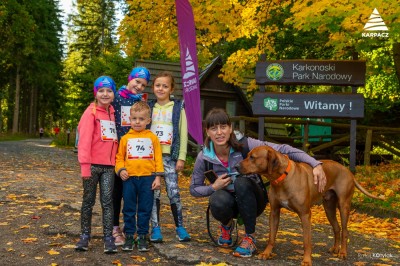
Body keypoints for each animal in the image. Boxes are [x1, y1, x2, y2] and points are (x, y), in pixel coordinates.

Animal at [236, 145, 382, 266]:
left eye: (252, 157)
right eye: (247, 155)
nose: (236, 166)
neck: (282, 178)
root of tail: (348, 171)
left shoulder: (305, 214)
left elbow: (307, 241)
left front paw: (306, 260)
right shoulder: (274, 212)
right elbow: (271, 237)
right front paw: (266, 253)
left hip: (344, 205)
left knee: (345, 230)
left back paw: (343, 252)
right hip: (328, 207)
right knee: (337, 228)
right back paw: (335, 248)